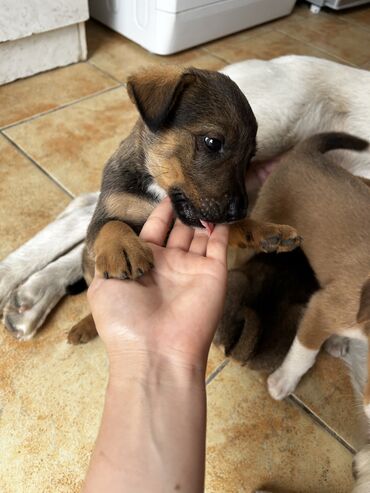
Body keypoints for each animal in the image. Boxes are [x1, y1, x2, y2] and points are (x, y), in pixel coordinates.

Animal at [68, 64, 300, 342]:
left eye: (250, 157)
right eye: (213, 142)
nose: (238, 211)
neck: (158, 191)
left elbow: (237, 227)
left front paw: (271, 232)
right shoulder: (104, 214)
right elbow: (112, 225)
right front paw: (122, 249)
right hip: (87, 261)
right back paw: (85, 326)